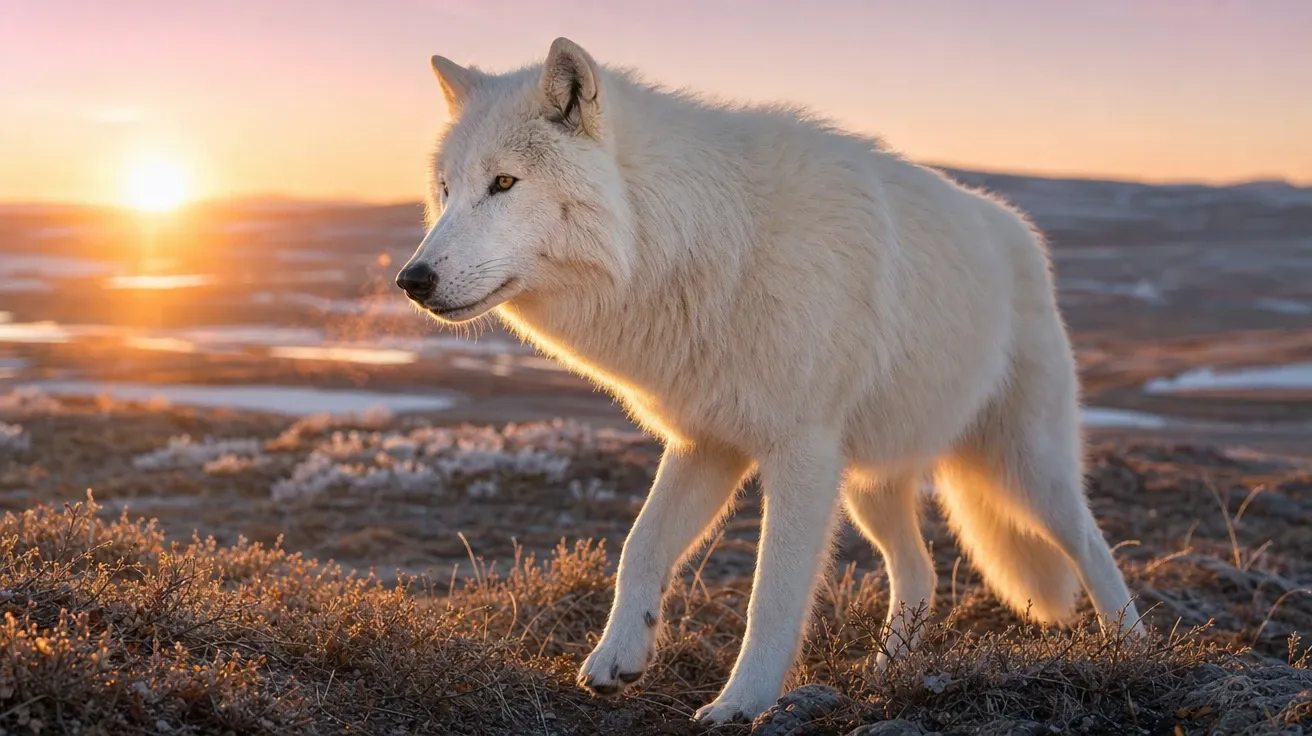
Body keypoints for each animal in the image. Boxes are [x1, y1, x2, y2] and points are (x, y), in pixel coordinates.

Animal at [396, 37, 1143, 723]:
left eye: (503, 184)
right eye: (445, 190)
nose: (411, 280)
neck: (704, 242)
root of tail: (1019, 231)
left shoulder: (800, 452)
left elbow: (773, 591)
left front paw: (742, 702)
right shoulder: (707, 444)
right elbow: (640, 546)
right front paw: (618, 658)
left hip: (1023, 469)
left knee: (1090, 545)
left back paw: (1132, 650)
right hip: (868, 487)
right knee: (921, 571)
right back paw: (887, 673)